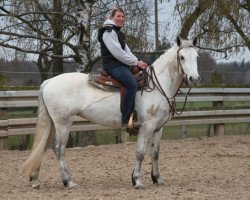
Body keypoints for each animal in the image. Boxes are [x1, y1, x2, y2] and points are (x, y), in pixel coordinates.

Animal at [20, 36, 200, 189]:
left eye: (196, 56)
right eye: (182, 57)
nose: (194, 78)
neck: (157, 85)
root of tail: (49, 81)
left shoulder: (158, 128)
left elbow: (155, 153)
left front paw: (157, 179)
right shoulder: (147, 126)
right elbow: (140, 152)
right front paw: (137, 180)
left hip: (52, 122)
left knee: (45, 146)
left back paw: (35, 180)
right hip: (63, 123)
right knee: (59, 148)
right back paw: (68, 181)